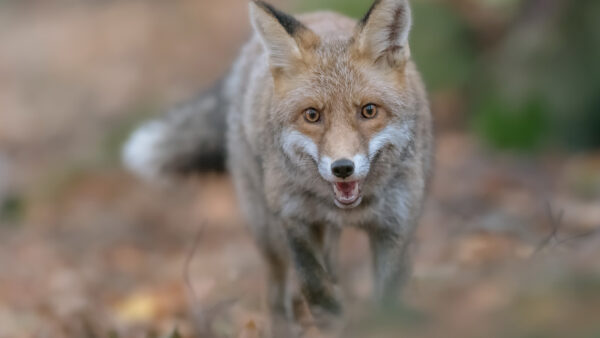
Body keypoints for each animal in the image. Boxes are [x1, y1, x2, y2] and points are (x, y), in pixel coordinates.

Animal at [122, 0, 432, 332]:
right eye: (312, 115)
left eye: (369, 111)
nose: (342, 168)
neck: (349, 209)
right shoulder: (292, 217)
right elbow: (314, 286)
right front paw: (332, 320)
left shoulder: (396, 225)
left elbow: (388, 298)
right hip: (265, 227)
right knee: (276, 292)